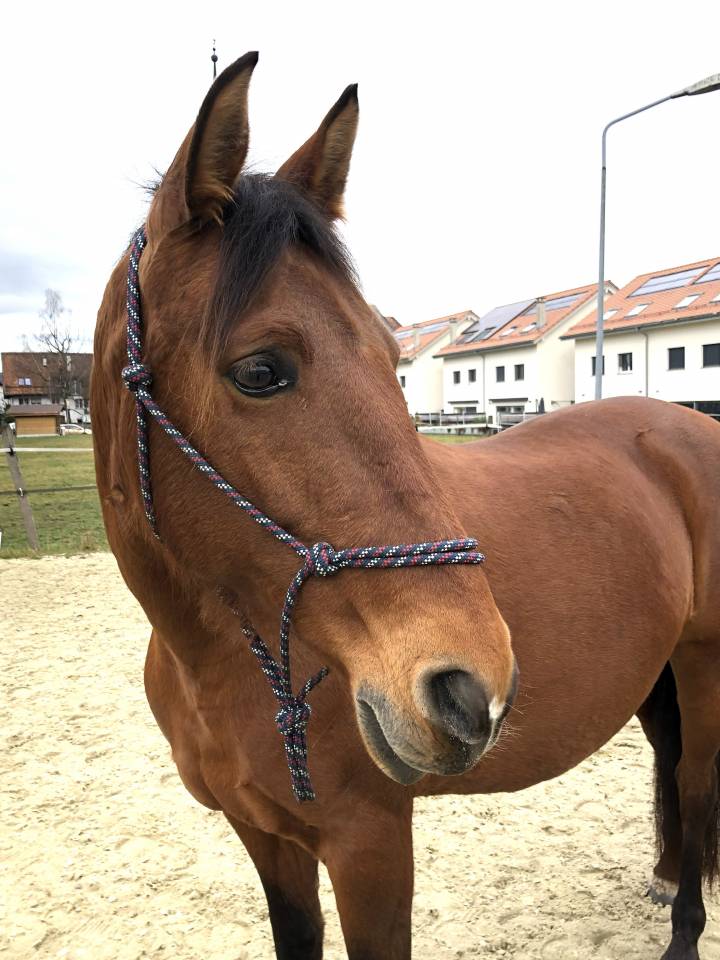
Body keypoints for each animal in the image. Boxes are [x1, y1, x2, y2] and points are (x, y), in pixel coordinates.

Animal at [91, 51, 720, 959]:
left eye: (394, 357)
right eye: (260, 370)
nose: (472, 688)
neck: (217, 660)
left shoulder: (371, 846)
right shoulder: (266, 840)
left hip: (705, 666)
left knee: (698, 786)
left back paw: (684, 929)